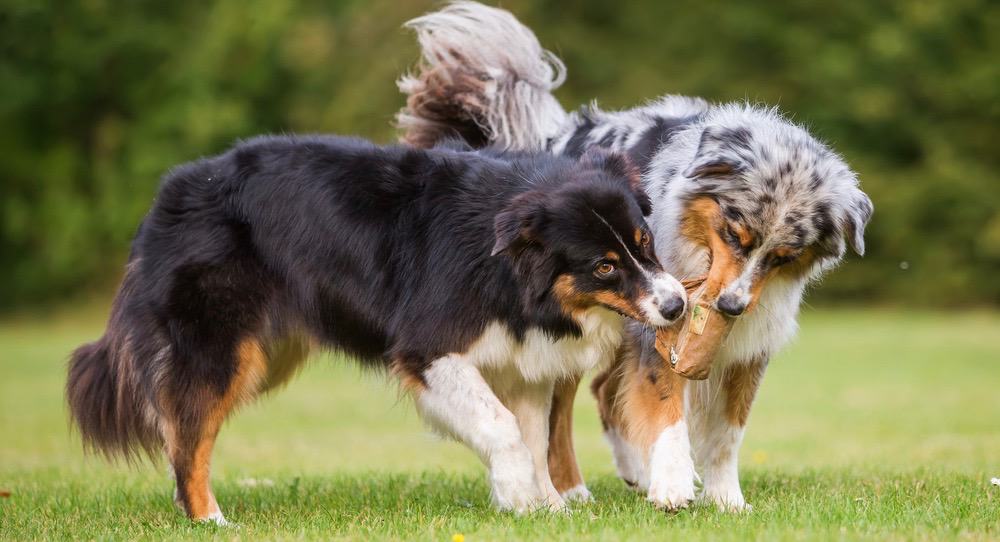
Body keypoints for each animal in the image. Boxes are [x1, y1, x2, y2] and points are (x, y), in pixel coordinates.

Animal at [64, 134, 688, 524]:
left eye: (645, 242)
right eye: (603, 266)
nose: (678, 306)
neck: (507, 263)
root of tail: (170, 193)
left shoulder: (522, 361)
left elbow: (533, 435)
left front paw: (546, 507)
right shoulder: (428, 348)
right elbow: (502, 426)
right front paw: (518, 496)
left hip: (268, 354)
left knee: (178, 427)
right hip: (222, 348)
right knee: (188, 433)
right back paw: (210, 520)